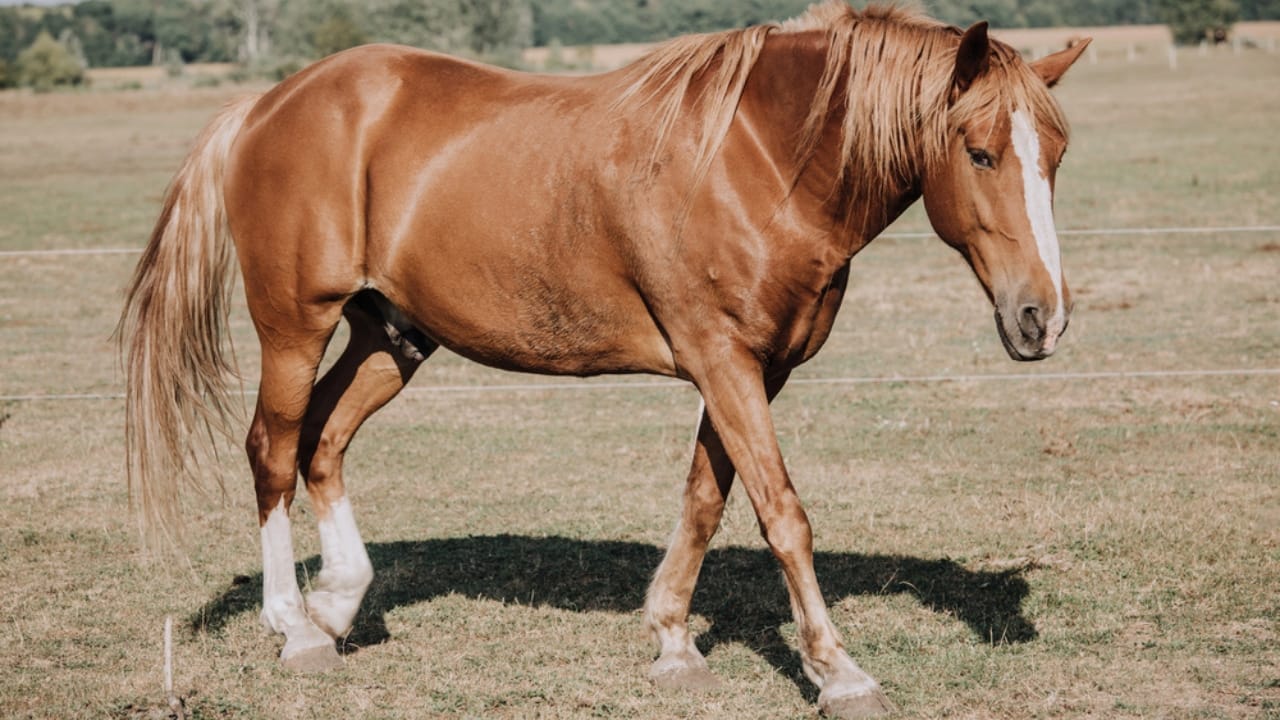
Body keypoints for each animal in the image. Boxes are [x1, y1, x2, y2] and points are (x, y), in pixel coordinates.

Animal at [118, 3, 1089, 717]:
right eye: (979, 152)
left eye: (1057, 156)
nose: (1040, 318)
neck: (761, 160)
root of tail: (268, 105)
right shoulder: (722, 361)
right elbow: (782, 511)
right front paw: (837, 670)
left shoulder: (752, 370)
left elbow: (705, 498)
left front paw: (672, 642)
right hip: (295, 325)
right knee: (273, 449)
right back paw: (295, 626)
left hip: (391, 336)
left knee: (323, 441)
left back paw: (339, 598)